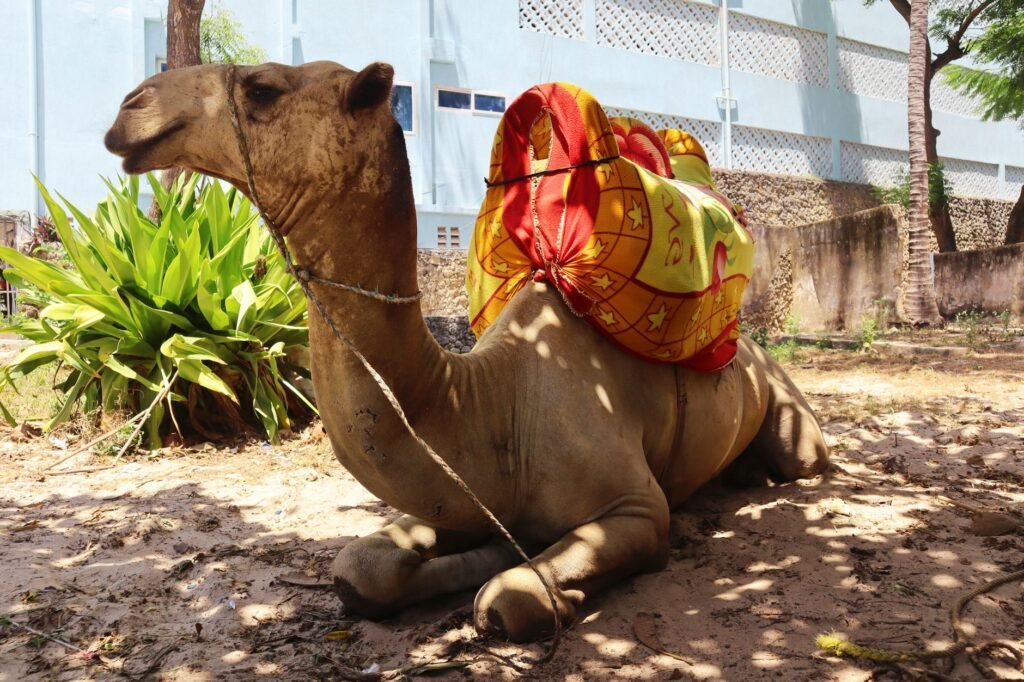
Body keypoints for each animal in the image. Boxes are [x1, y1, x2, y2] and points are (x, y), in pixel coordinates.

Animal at [105, 60, 829, 642]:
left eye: (261, 87)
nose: (130, 107)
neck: (492, 403)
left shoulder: (638, 507)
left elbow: (510, 599)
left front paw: (538, 584)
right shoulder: (465, 494)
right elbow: (359, 570)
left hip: (789, 412)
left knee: (801, 457)